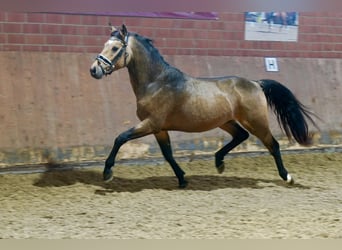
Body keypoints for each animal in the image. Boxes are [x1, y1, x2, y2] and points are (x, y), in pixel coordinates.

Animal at [89, 23, 318, 188]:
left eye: (115, 48)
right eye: (104, 45)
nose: (94, 70)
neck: (157, 82)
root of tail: (256, 83)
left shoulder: (151, 124)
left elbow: (120, 138)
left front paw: (107, 173)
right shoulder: (159, 129)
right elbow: (168, 154)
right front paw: (182, 179)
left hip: (256, 121)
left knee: (273, 145)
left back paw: (287, 177)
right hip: (226, 121)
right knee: (241, 136)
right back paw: (219, 162)